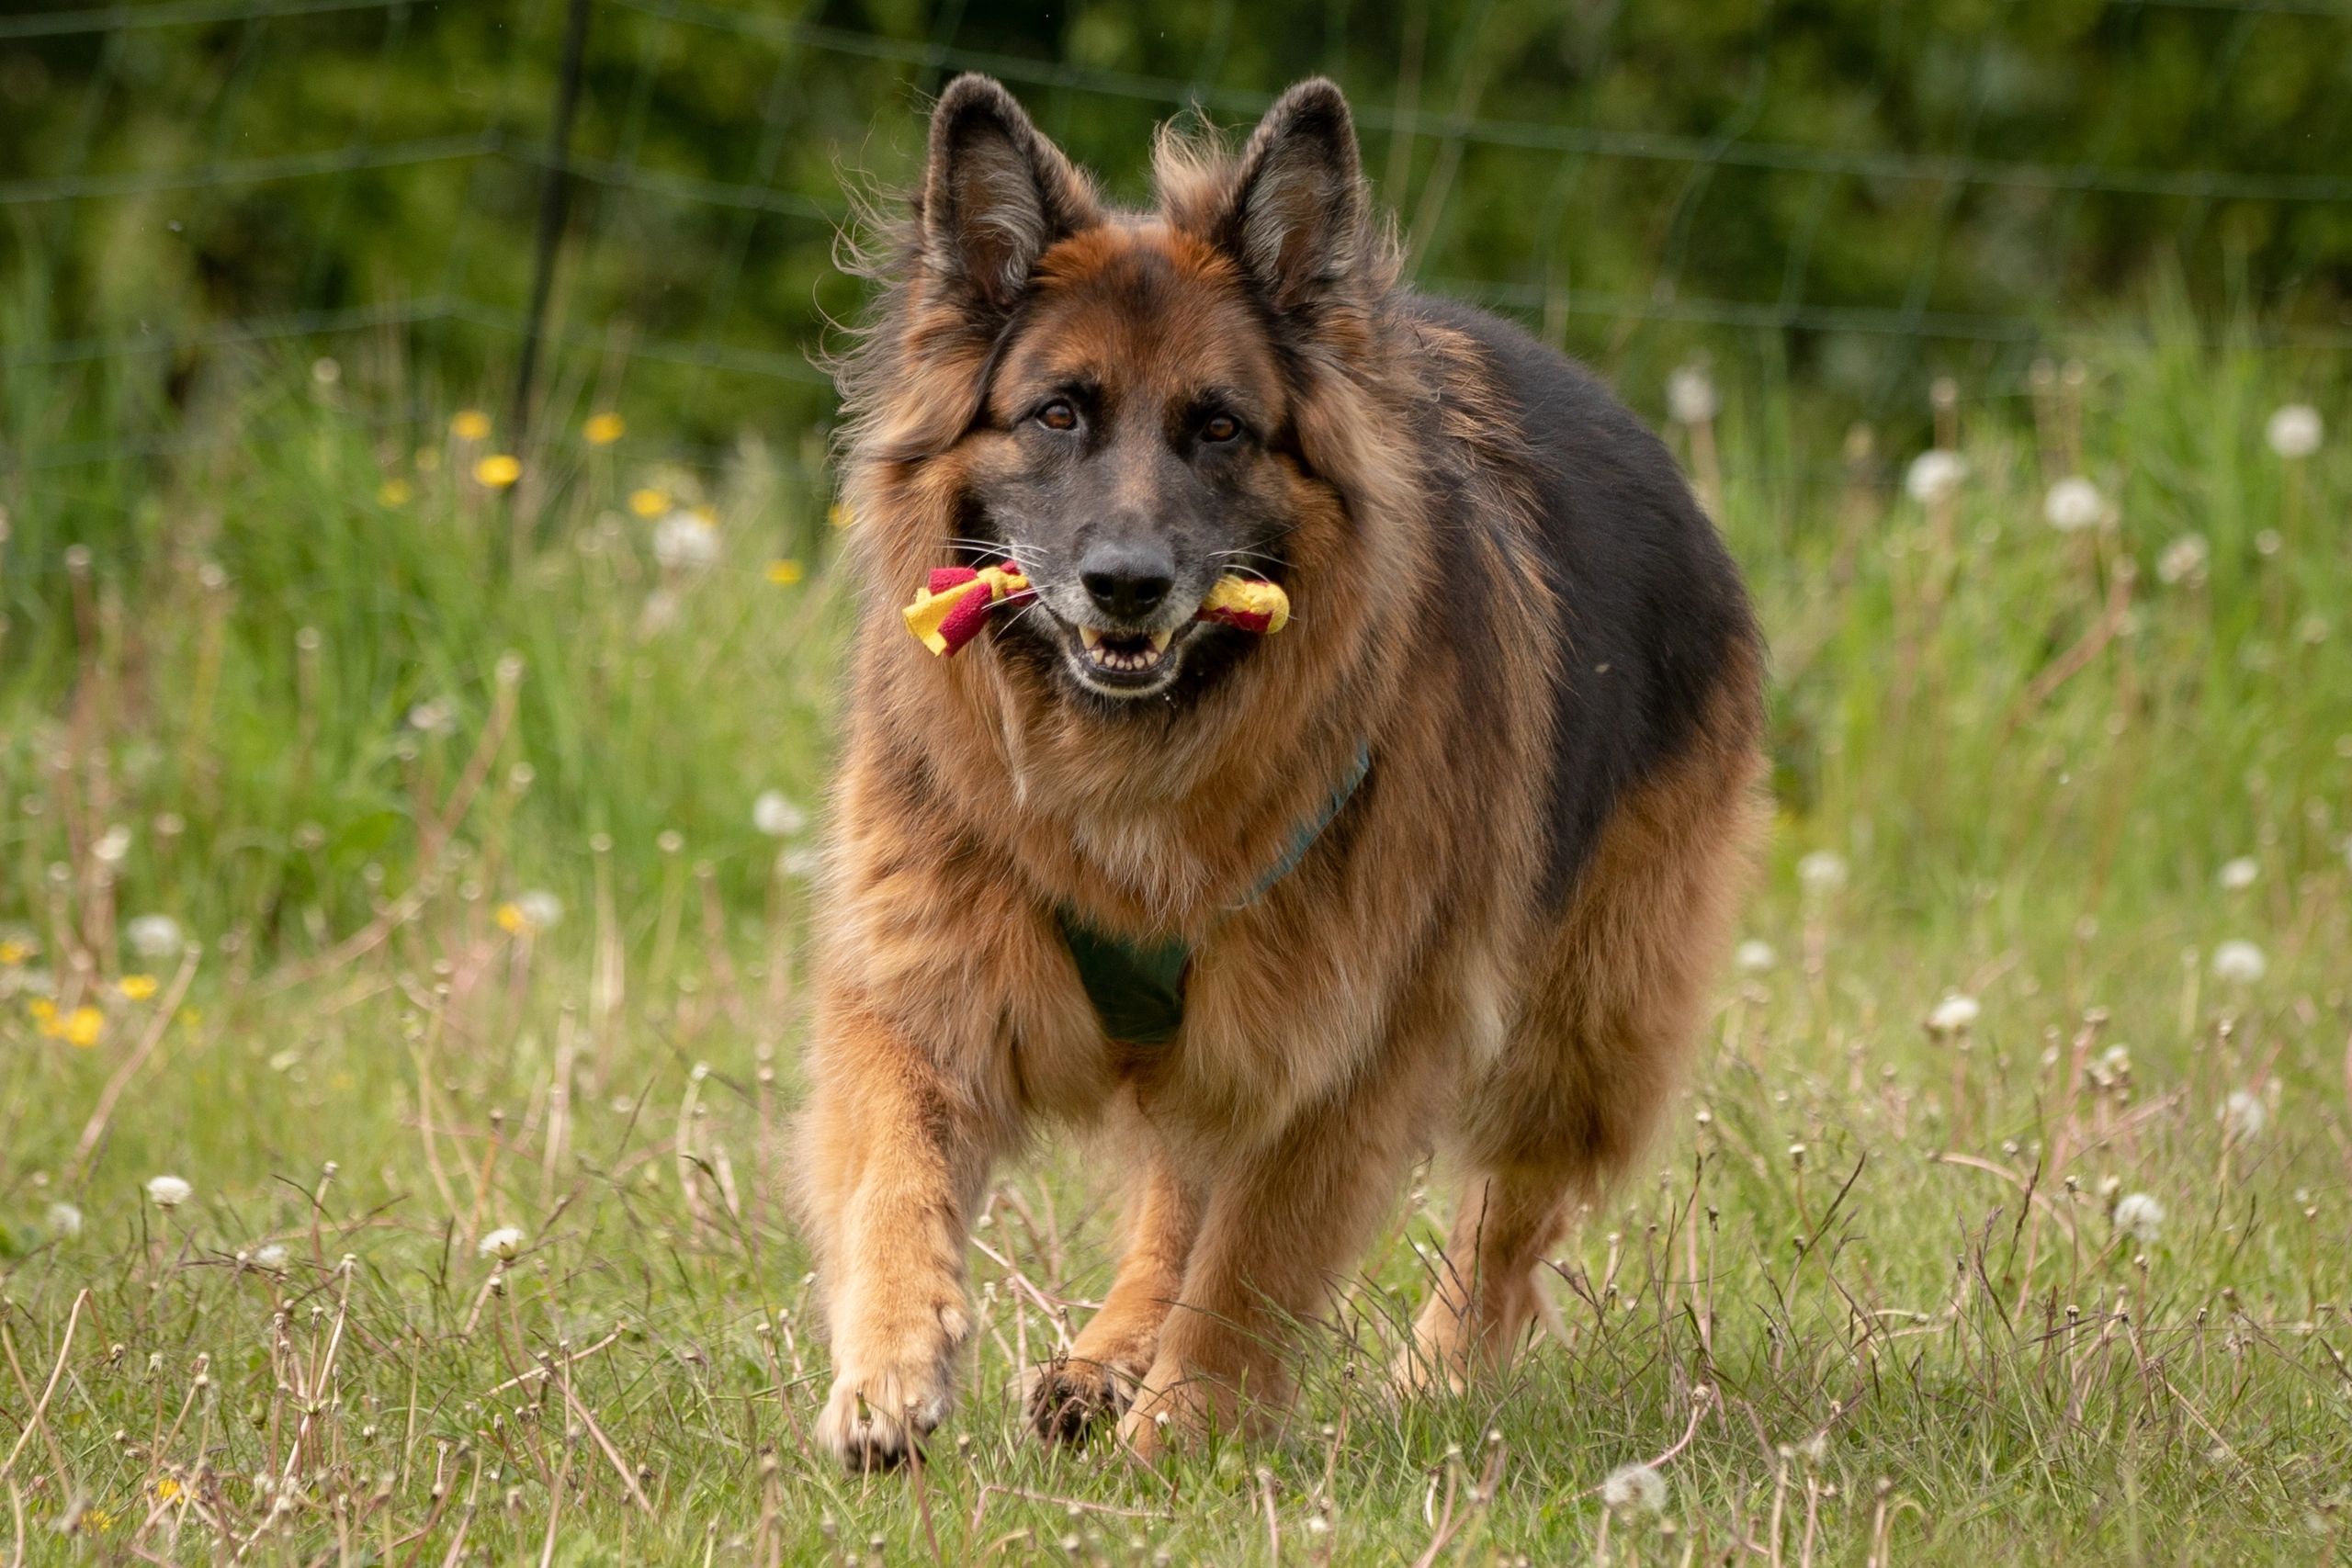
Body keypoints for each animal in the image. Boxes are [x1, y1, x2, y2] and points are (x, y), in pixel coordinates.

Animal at [799, 70, 1758, 1476]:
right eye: (1057, 413)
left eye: (1219, 428)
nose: (1127, 583)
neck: (1131, 767)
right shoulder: (927, 978)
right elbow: (894, 1177)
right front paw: (889, 1366)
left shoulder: (1355, 1036)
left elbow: (1253, 1263)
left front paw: (1184, 1430)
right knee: (1180, 1180)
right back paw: (1107, 1350)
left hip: (1580, 1027)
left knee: (1508, 1219)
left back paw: (1436, 1375)